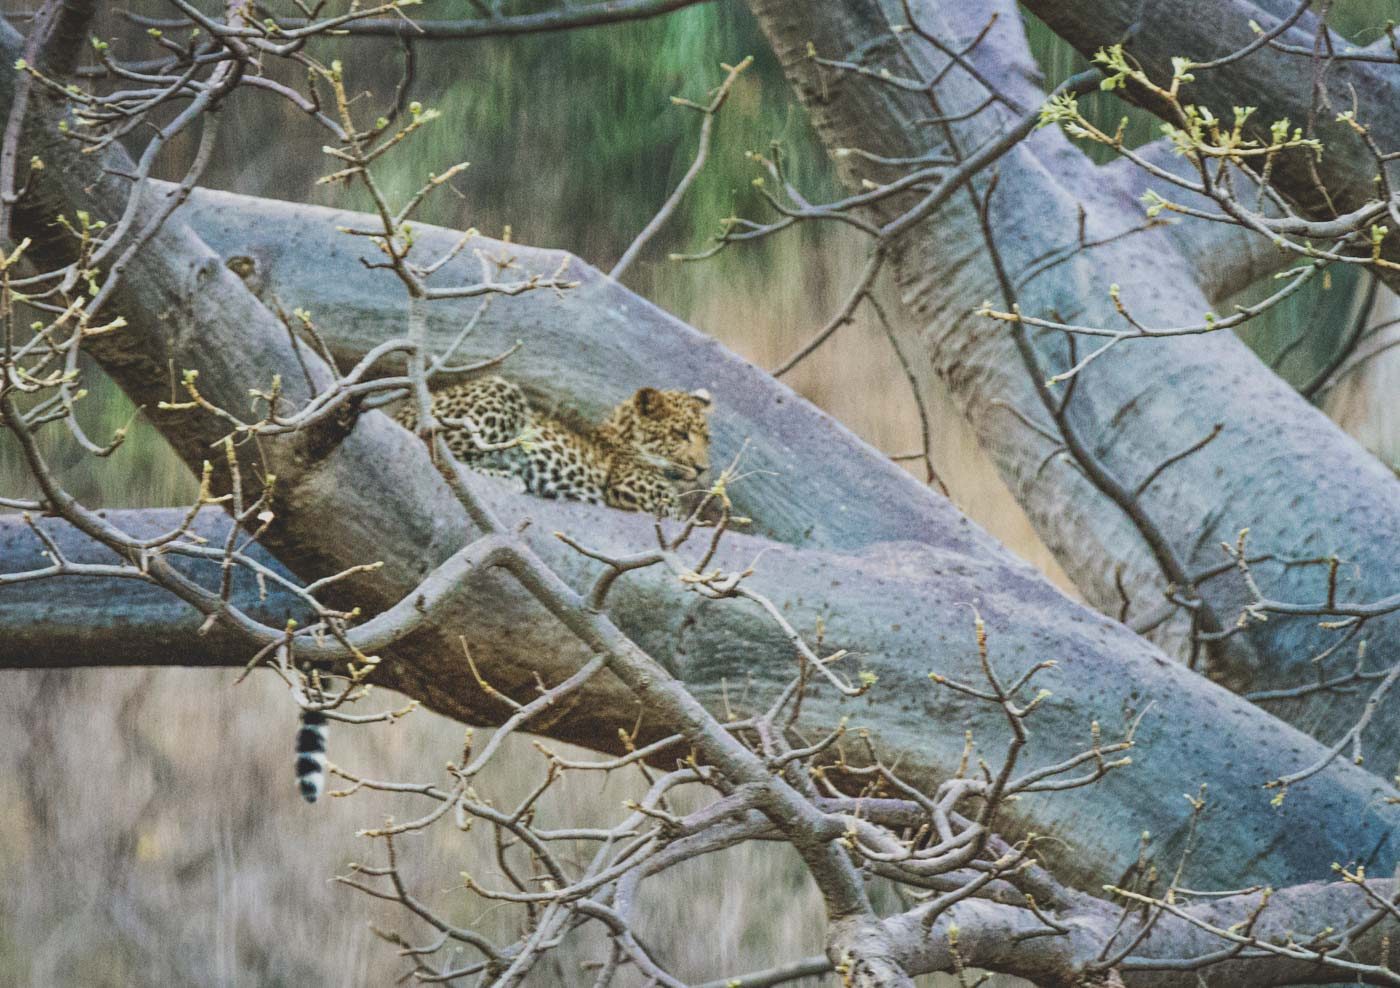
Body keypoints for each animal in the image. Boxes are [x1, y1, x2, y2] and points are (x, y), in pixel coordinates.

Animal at [397, 372, 716, 520]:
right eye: (680, 434)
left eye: (706, 440)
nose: (703, 468)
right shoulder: (633, 490)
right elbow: (678, 514)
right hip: (502, 391)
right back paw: (511, 477)